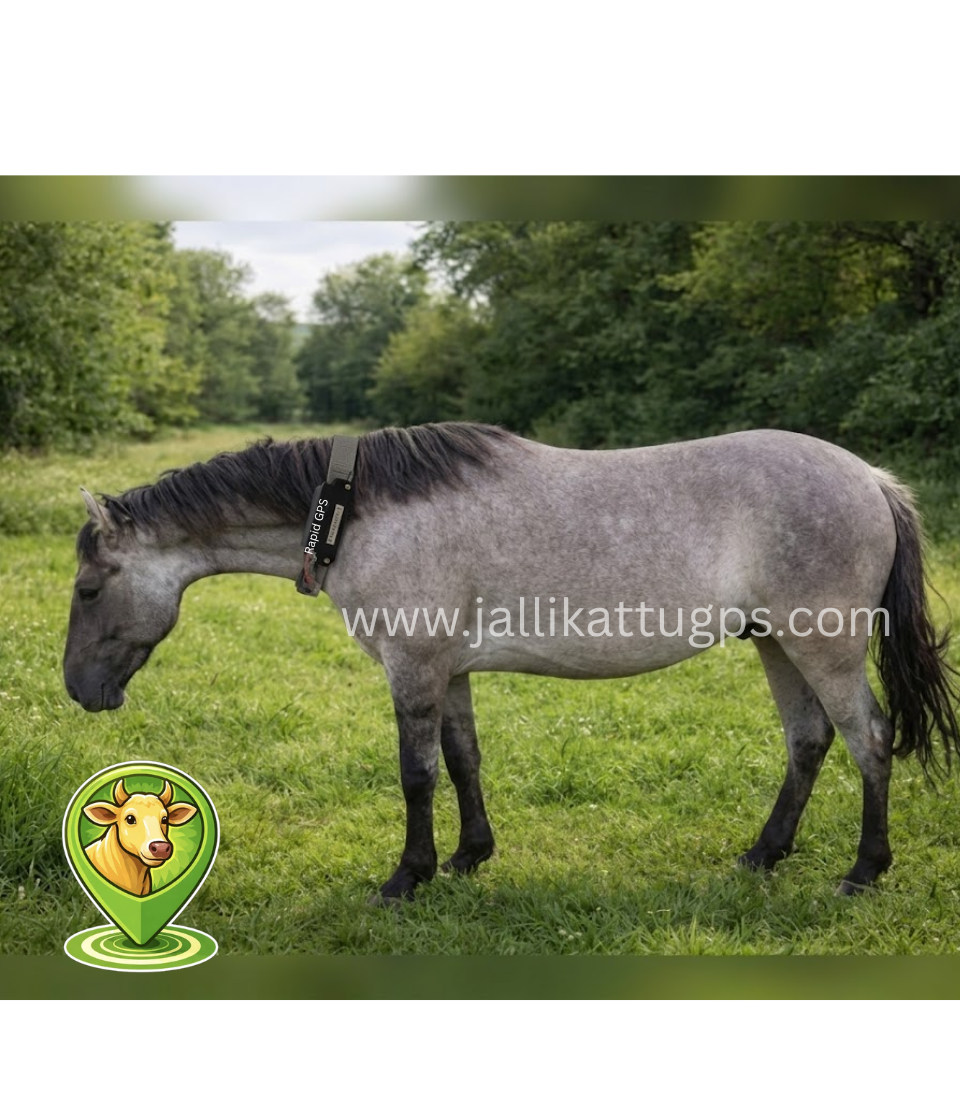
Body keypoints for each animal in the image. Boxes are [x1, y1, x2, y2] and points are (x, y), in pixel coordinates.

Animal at [63, 422, 960, 901]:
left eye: (88, 586)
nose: (79, 690)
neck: (359, 510)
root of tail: (871, 477)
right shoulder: (449, 670)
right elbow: (463, 758)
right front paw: (469, 856)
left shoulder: (413, 667)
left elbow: (416, 773)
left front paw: (408, 875)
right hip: (777, 641)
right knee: (808, 742)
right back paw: (762, 853)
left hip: (823, 642)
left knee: (869, 740)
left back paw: (863, 869)